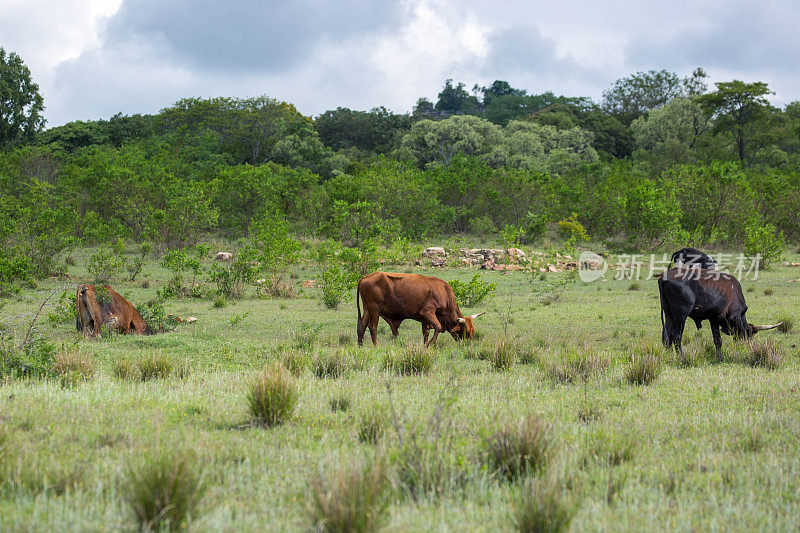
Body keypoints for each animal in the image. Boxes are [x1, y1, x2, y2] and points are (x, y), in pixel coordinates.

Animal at [354, 272, 482, 348]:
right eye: (466, 331)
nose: (468, 346)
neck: (443, 292)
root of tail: (365, 277)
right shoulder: (427, 312)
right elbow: (438, 327)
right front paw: (430, 344)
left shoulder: (425, 319)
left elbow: (426, 332)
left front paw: (425, 344)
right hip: (374, 310)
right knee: (372, 327)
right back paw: (376, 345)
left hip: (367, 310)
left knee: (362, 327)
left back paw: (360, 346)